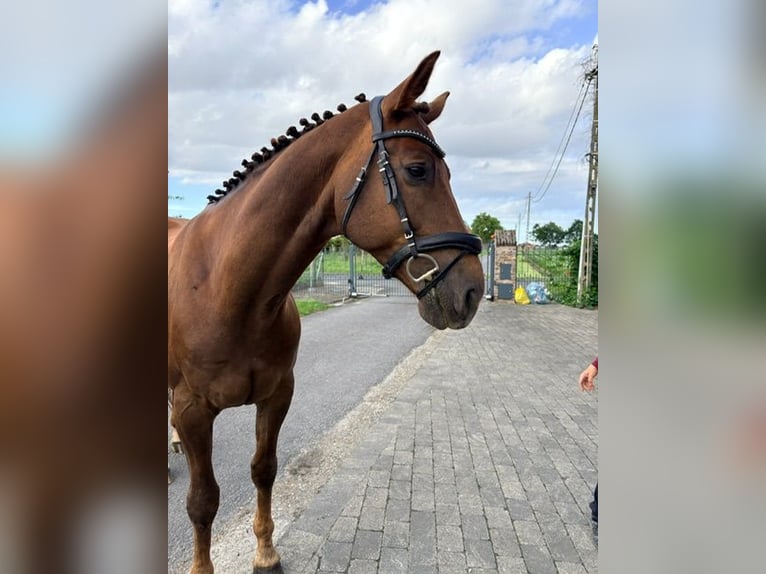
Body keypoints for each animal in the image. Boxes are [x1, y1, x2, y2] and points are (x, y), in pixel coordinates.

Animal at [168, 51, 484, 574]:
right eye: (418, 170)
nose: (473, 292)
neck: (228, 290)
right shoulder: (194, 411)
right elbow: (202, 501)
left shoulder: (277, 395)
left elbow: (264, 470)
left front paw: (266, 552)